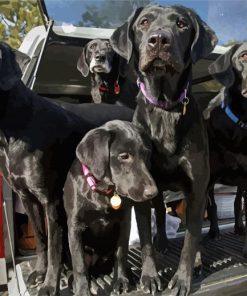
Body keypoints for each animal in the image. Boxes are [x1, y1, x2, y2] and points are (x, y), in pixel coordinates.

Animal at [0, 42, 133, 296]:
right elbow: (41, 240)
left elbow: (54, 246)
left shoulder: (50, 200)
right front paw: (40, 273)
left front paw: (49, 284)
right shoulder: (27, 197)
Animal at [62, 120, 157, 296]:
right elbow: (79, 264)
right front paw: (82, 290)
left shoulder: (124, 221)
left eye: (146, 154)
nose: (153, 193)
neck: (103, 191)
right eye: (124, 156)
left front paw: (120, 280)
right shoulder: (74, 226)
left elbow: (121, 252)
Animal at [111, 4, 217, 296]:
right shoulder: (142, 187)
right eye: (144, 22)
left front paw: (182, 280)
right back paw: (162, 242)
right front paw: (149, 276)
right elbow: (146, 238)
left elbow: (191, 238)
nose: (159, 39)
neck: (165, 107)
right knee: (159, 212)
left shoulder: (196, 187)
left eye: (181, 24)